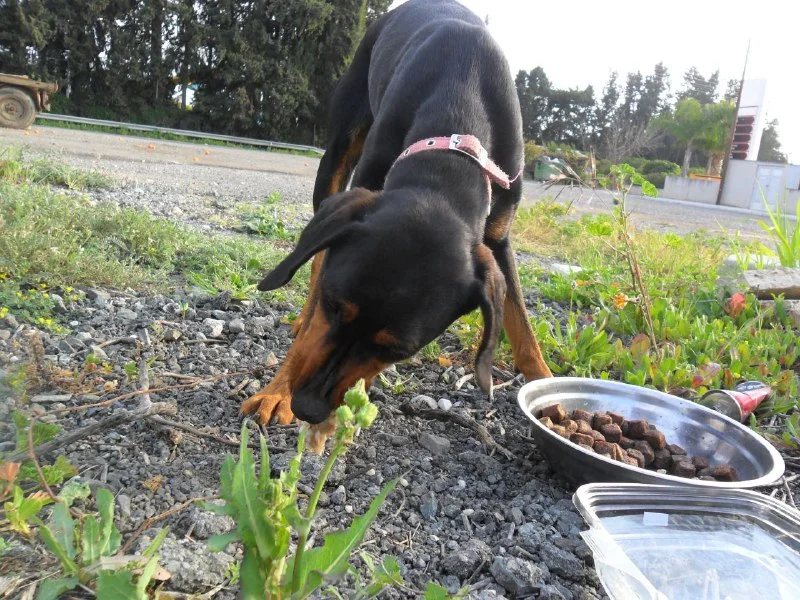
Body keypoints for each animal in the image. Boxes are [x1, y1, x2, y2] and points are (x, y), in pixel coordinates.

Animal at [241, 0, 552, 428]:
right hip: (338, 152)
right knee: (317, 255)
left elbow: (522, 325)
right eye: (334, 306)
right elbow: (313, 314)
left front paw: (549, 392)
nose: (308, 407)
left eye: (398, 351)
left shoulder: (498, 238)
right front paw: (277, 390)